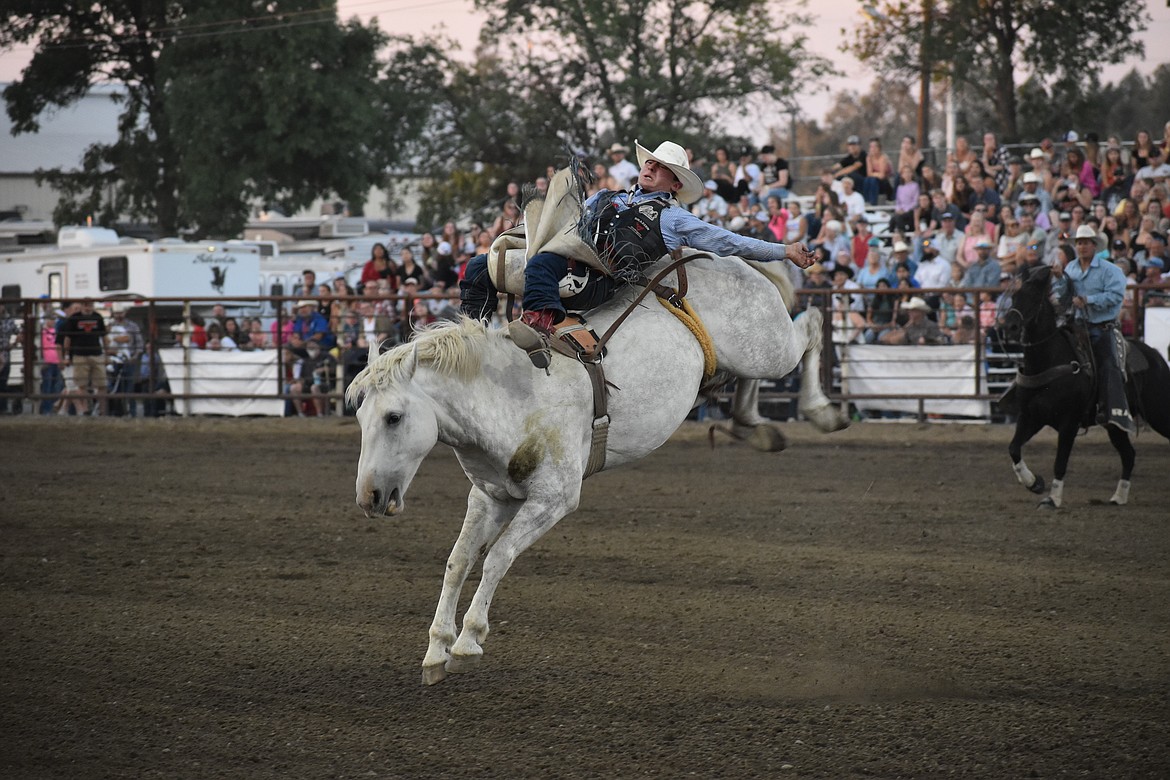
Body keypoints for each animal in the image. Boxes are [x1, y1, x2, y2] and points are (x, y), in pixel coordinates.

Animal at [341, 250, 847, 682]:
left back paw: (823, 410)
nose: (368, 497)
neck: (512, 395)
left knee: (812, 325)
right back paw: (753, 426)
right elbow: (459, 560)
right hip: (746, 357)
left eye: (393, 417)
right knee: (752, 375)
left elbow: (498, 557)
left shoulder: (553, 499)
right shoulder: (491, 496)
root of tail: (724, 257)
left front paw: (467, 642)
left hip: (769, 346)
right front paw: (436, 650)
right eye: (361, 417)